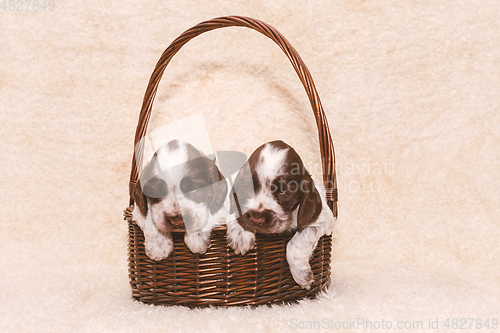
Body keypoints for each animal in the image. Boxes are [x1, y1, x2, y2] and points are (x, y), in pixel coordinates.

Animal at [227, 139, 336, 288]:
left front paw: (302, 274)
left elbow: (296, 243)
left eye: (284, 191)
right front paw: (241, 235)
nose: (256, 218)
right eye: (247, 186)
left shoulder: (322, 219)